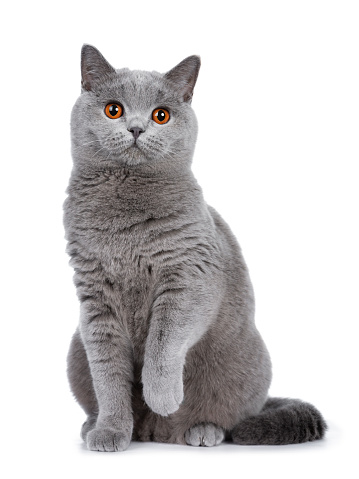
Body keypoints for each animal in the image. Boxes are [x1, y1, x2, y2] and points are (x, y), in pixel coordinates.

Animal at [63, 43, 328, 452]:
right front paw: (110, 431)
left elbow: (163, 341)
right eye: (114, 109)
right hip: (76, 349)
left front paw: (162, 396)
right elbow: (108, 374)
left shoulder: (189, 278)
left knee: (227, 415)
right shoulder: (94, 296)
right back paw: (97, 425)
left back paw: (200, 429)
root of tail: (156, 433)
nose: (136, 128)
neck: (124, 222)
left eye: (161, 115)